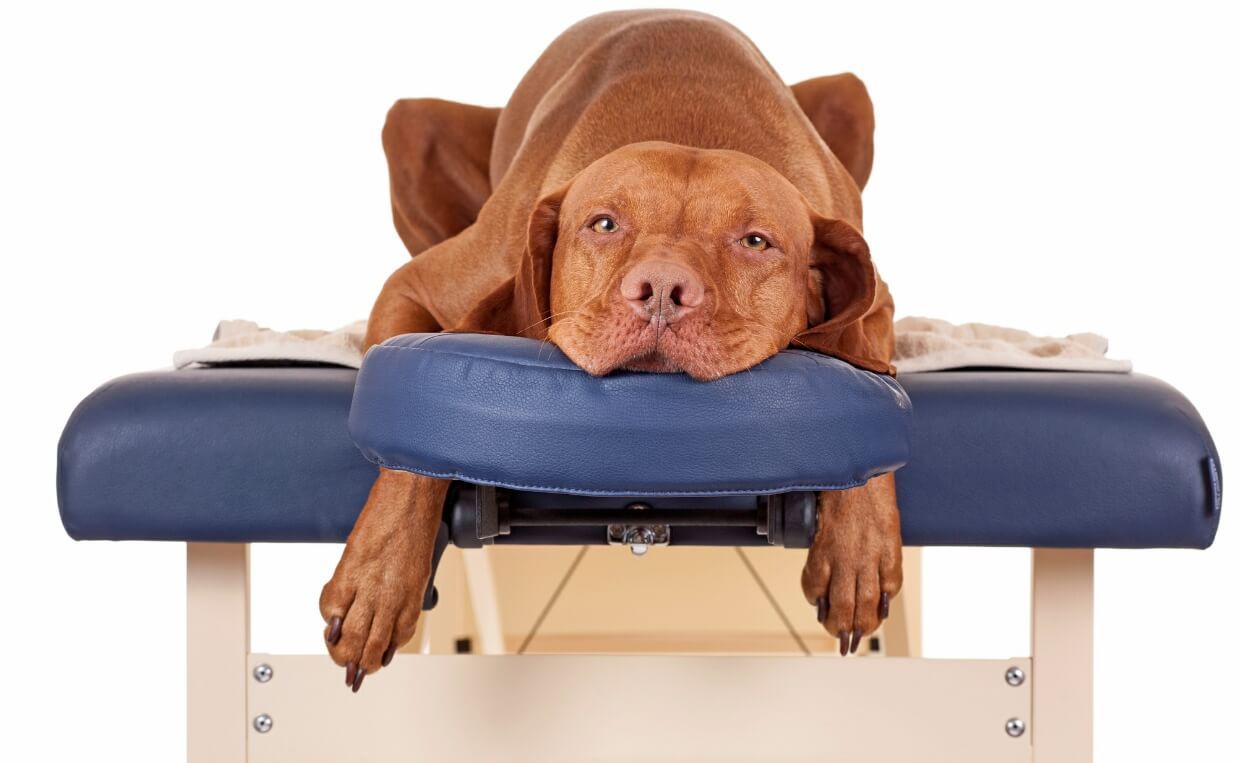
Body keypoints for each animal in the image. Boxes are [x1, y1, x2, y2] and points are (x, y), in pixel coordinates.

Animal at [319, 7, 901, 693]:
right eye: (603, 224)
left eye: (755, 241)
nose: (662, 291)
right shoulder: (413, 286)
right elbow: (411, 429)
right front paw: (377, 582)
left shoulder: (879, 306)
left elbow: (870, 383)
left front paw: (858, 551)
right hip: (409, 123)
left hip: (850, 93)